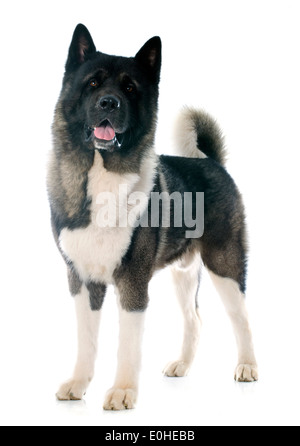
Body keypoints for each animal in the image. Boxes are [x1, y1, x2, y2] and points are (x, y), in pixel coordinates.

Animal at [47, 23, 258, 408]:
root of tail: (212, 162)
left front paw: (123, 391)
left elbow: (128, 344)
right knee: (194, 318)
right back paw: (182, 365)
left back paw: (248, 366)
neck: (102, 173)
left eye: (130, 88)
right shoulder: (81, 279)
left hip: (224, 263)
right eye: (93, 83)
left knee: (241, 317)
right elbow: (87, 339)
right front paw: (78, 383)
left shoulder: (132, 280)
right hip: (183, 272)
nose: (109, 102)